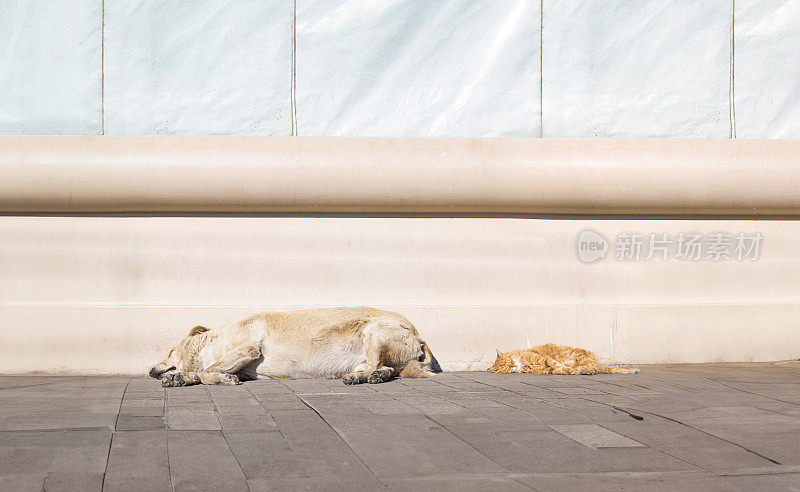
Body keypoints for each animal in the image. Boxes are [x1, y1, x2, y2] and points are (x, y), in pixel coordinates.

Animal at [149, 306, 438, 386]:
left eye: (169, 351)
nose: (150, 370)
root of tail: (418, 336)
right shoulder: (240, 364)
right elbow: (203, 372)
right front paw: (180, 378)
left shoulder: (247, 349)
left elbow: (208, 371)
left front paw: (220, 379)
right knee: (385, 369)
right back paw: (373, 376)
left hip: (373, 333)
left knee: (376, 365)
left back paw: (362, 378)